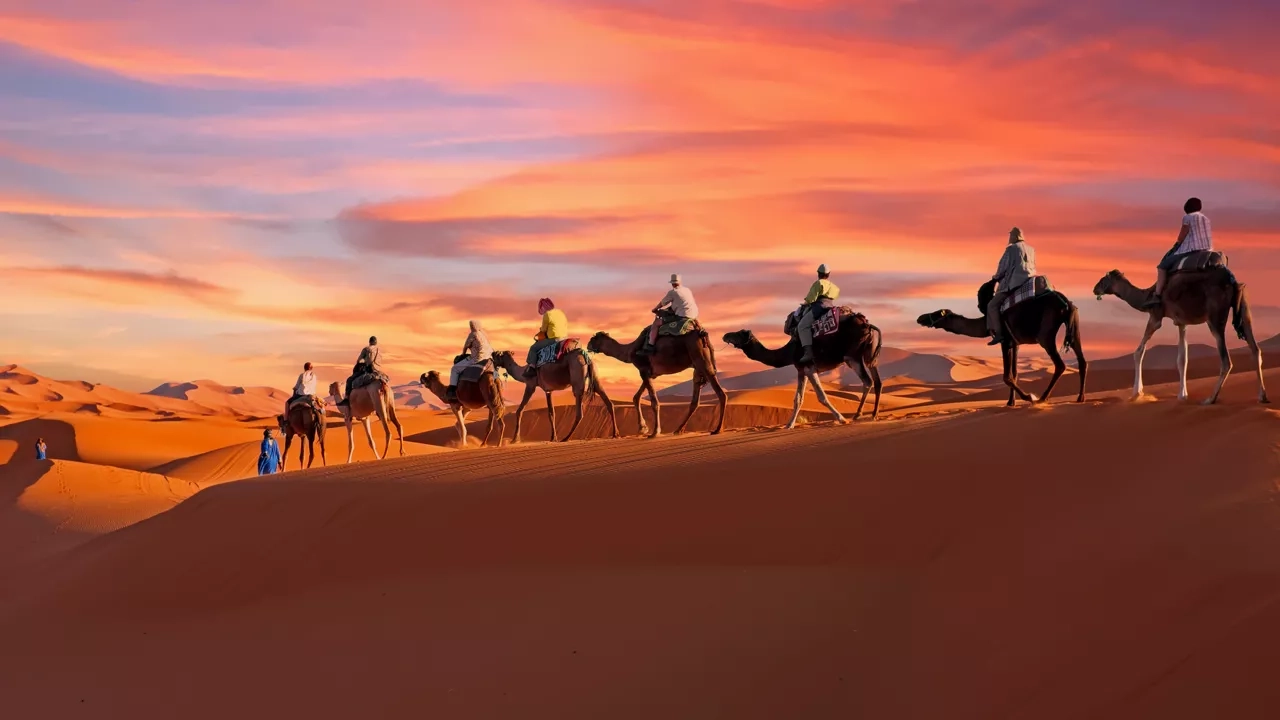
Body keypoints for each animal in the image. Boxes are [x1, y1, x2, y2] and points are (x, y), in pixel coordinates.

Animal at [486, 348, 616, 443]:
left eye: (498, 355)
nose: (492, 354)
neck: (522, 372)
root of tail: (585, 356)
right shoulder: (548, 391)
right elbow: (551, 413)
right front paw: (553, 437)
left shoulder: (530, 385)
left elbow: (519, 410)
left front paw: (515, 439)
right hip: (595, 375)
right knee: (606, 399)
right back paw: (615, 434)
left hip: (577, 376)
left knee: (579, 411)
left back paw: (566, 438)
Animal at [586, 320, 727, 435]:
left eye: (593, 339)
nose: (587, 346)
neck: (631, 350)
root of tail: (702, 333)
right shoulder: (650, 373)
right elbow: (636, 397)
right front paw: (643, 428)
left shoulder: (643, 370)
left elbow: (654, 402)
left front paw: (655, 432)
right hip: (697, 368)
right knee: (695, 401)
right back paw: (678, 429)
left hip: (702, 360)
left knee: (721, 393)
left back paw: (717, 429)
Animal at [727, 308, 885, 425]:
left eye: (740, 333)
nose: (725, 335)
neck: (790, 351)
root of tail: (867, 325)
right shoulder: (801, 370)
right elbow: (798, 399)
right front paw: (789, 425)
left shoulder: (809, 367)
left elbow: (822, 397)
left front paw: (841, 419)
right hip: (870, 355)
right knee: (877, 381)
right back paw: (874, 414)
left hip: (852, 357)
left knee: (867, 381)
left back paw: (858, 414)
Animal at [916, 279, 1085, 404]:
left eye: (938, 313)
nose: (920, 318)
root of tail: (1067, 303)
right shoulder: (1015, 344)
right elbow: (1015, 374)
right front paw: (1011, 402)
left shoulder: (1004, 340)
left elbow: (1006, 376)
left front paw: (1028, 397)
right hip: (1074, 326)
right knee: (1081, 360)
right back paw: (1080, 398)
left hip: (1045, 333)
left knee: (1060, 365)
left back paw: (1042, 398)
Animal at [1090, 267, 1269, 404]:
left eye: (1102, 279)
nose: (1094, 289)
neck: (1147, 296)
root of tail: (1233, 282)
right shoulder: (1182, 322)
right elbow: (1183, 358)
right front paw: (1182, 395)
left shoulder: (1156, 316)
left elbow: (1139, 351)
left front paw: (1137, 393)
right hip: (1245, 309)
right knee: (1256, 350)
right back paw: (1262, 396)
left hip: (1215, 317)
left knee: (1226, 361)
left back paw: (1210, 399)